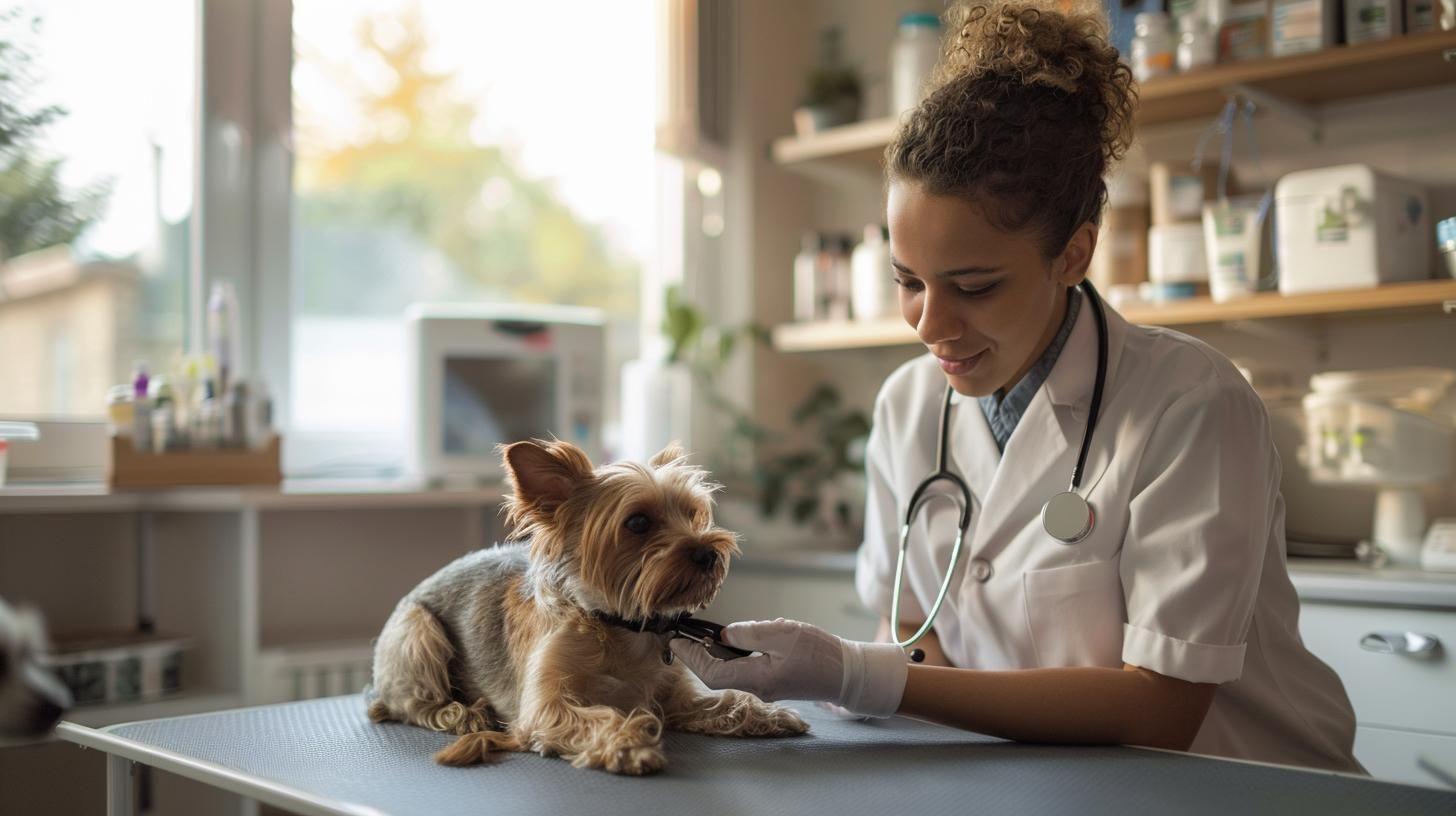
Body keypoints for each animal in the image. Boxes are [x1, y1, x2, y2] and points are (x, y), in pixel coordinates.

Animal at [366, 440, 809, 769]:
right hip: (417, 631)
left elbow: (726, 699)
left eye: (693, 514)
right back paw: (462, 713)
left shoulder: (677, 697)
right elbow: (598, 716)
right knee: (413, 704)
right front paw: (630, 744)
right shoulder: (546, 708)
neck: (623, 624)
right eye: (638, 522)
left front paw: (769, 714)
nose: (709, 554)